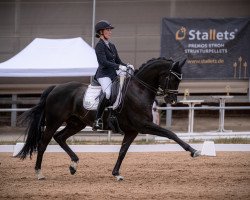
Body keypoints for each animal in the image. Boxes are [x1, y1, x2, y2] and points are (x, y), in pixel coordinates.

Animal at [17, 57, 201, 180]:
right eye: (172, 78)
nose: (172, 100)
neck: (139, 90)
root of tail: (55, 87)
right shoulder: (143, 125)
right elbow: (171, 134)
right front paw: (194, 151)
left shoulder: (133, 131)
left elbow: (122, 151)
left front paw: (116, 174)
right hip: (54, 121)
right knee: (43, 143)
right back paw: (39, 173)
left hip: (76, 123)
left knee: (60, 137)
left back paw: (73, 165)